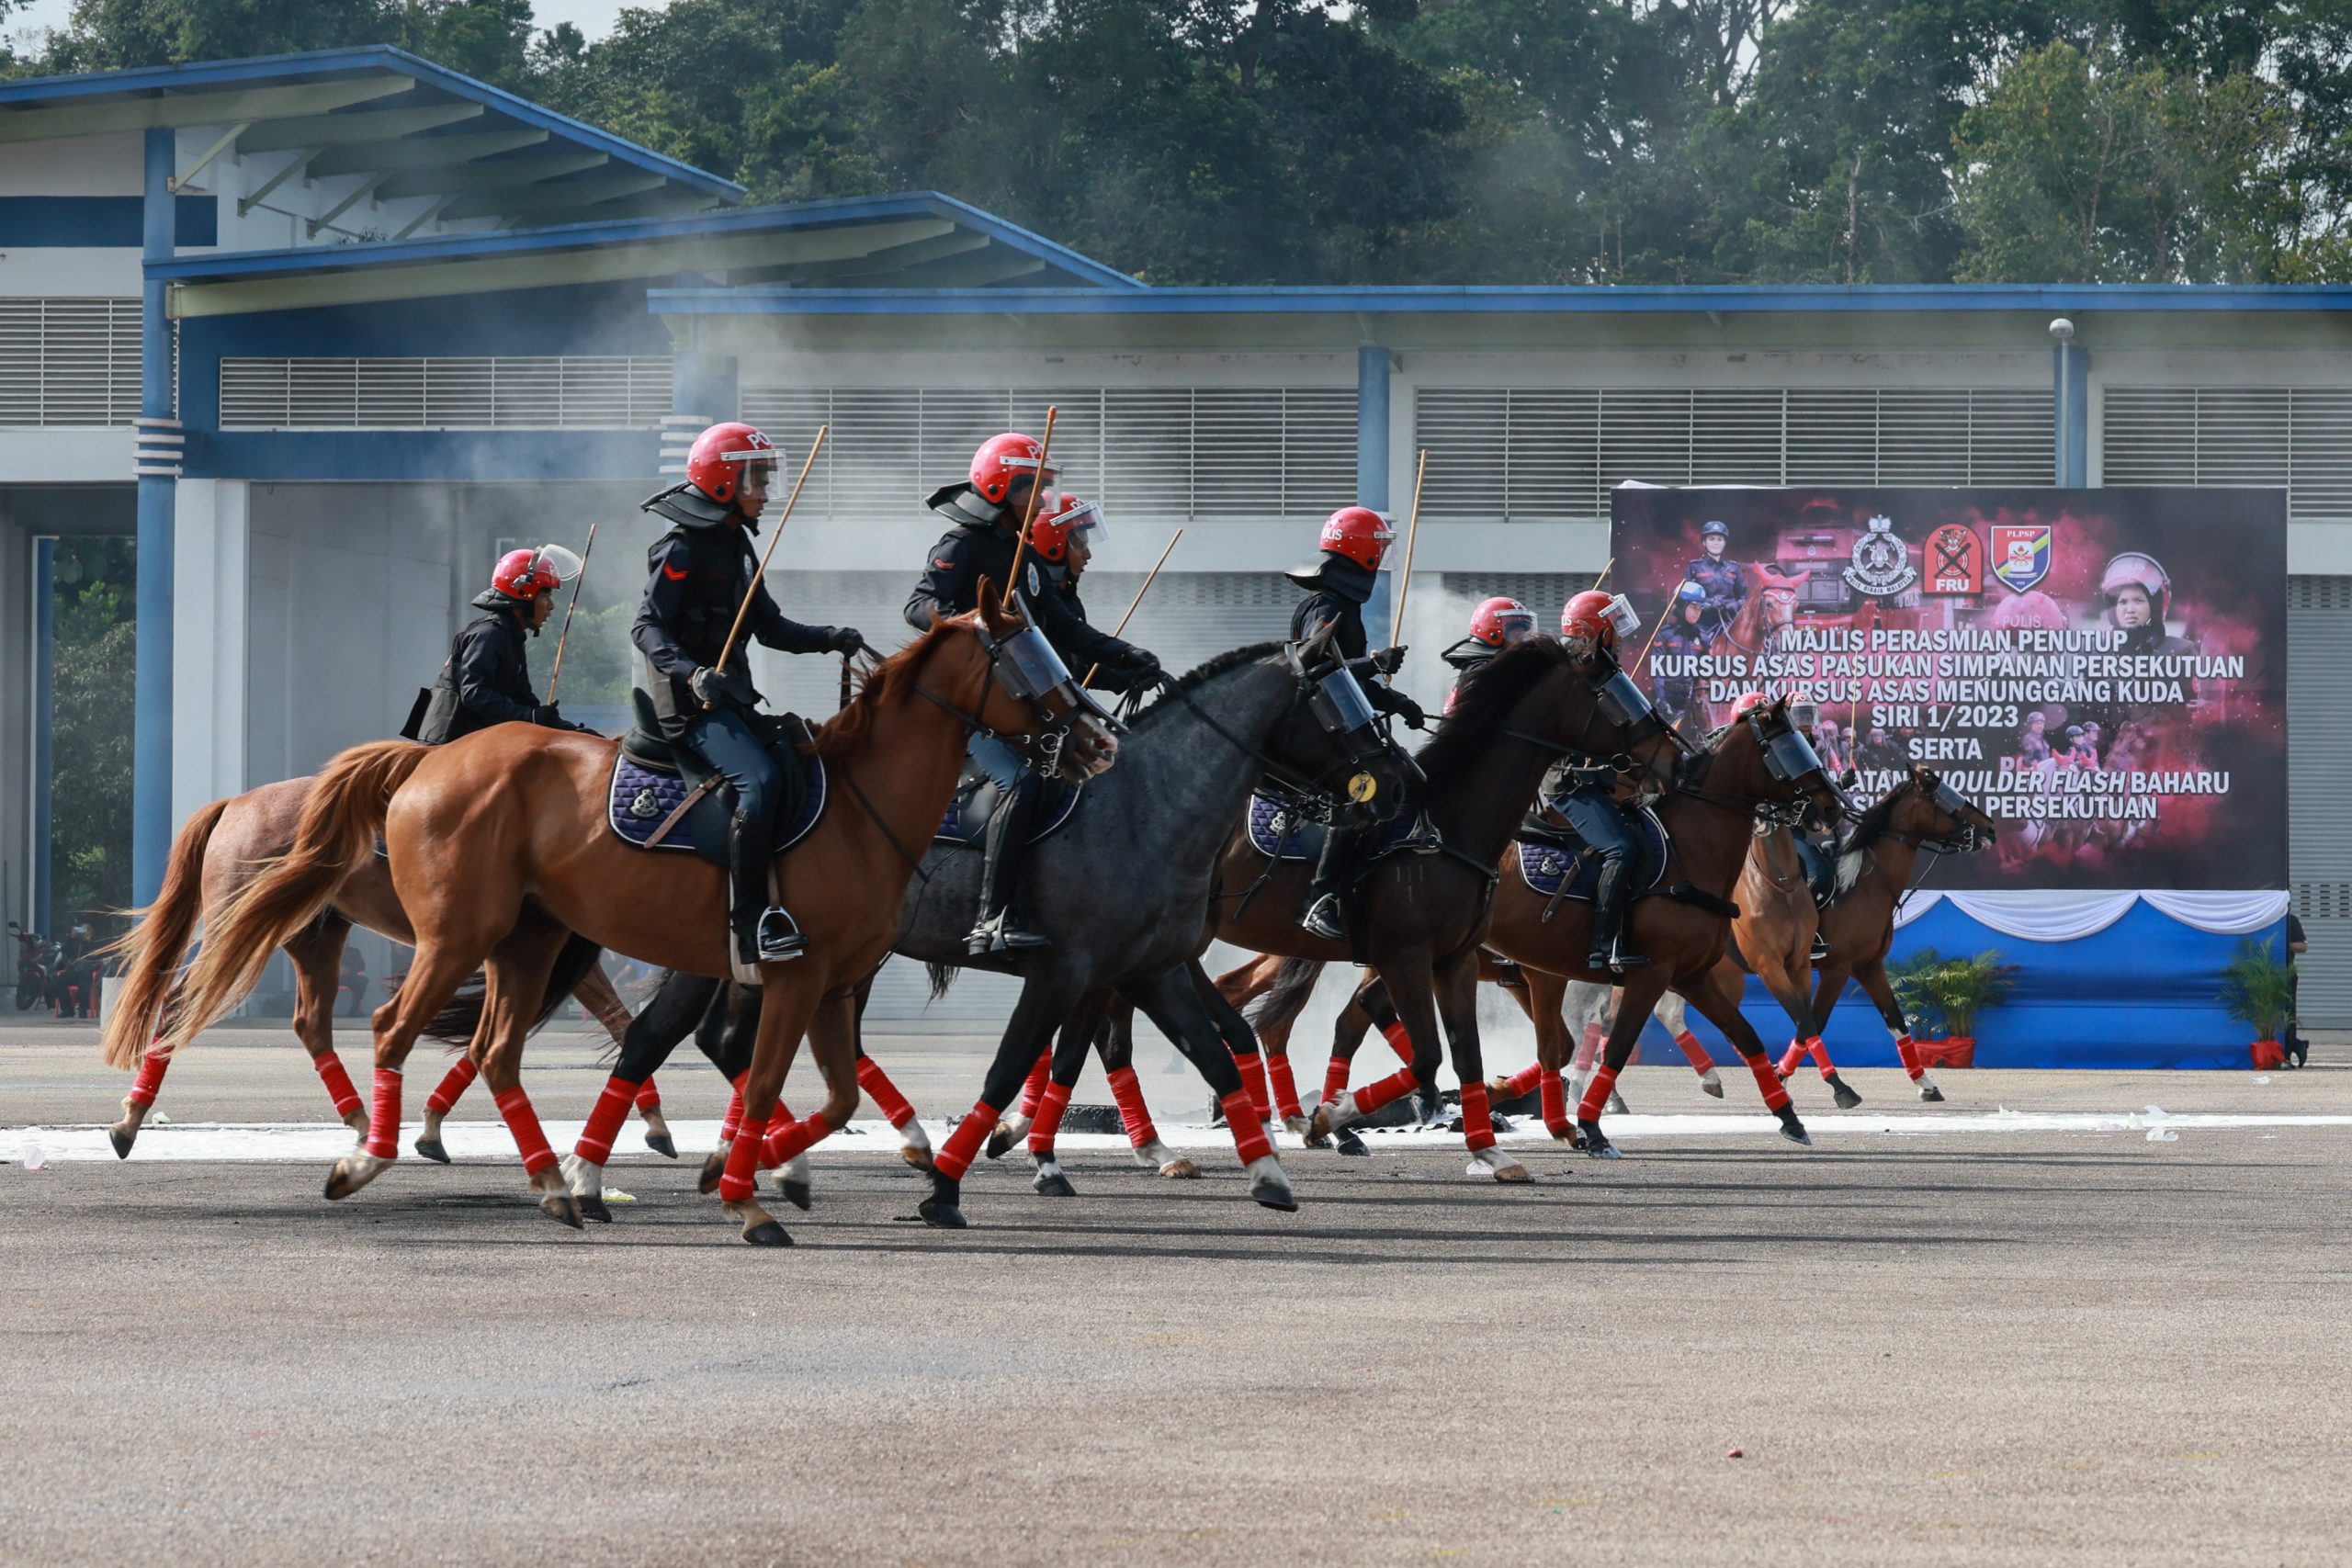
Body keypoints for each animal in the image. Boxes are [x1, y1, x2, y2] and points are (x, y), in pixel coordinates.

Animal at [94, 775, 653, 1161]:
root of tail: (235, 803)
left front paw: (431, 1126)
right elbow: (617, 1022)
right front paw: (654, 1120)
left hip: (315, 937)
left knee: (311, 1023)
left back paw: (365, 1122)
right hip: (239, 925)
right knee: (178, 1003)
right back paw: (130, 1119)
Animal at [156, 594, 1110, 1241]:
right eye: (1025, 655)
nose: (1097, 738)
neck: (860, 804)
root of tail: (425, 765)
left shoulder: (837, 985)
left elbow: (835, 1094)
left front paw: (768, 1165)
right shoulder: (795, 975)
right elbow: (763, 1081)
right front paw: (750, 1194)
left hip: (527, 942)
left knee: (495, 1049)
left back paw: (552, 1182)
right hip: (457, 936)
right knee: (389, 1026)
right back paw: (366, 1154)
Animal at [1204, 644, 1683, 1184]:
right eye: (1616, 695)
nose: (1677, 760)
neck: (1448, 826)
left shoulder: (1456, 960)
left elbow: (1467, 1053)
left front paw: (1490, 1150)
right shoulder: (1408, 959)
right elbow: (1431, 1053)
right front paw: (1338, 1114)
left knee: (1253, 1010)